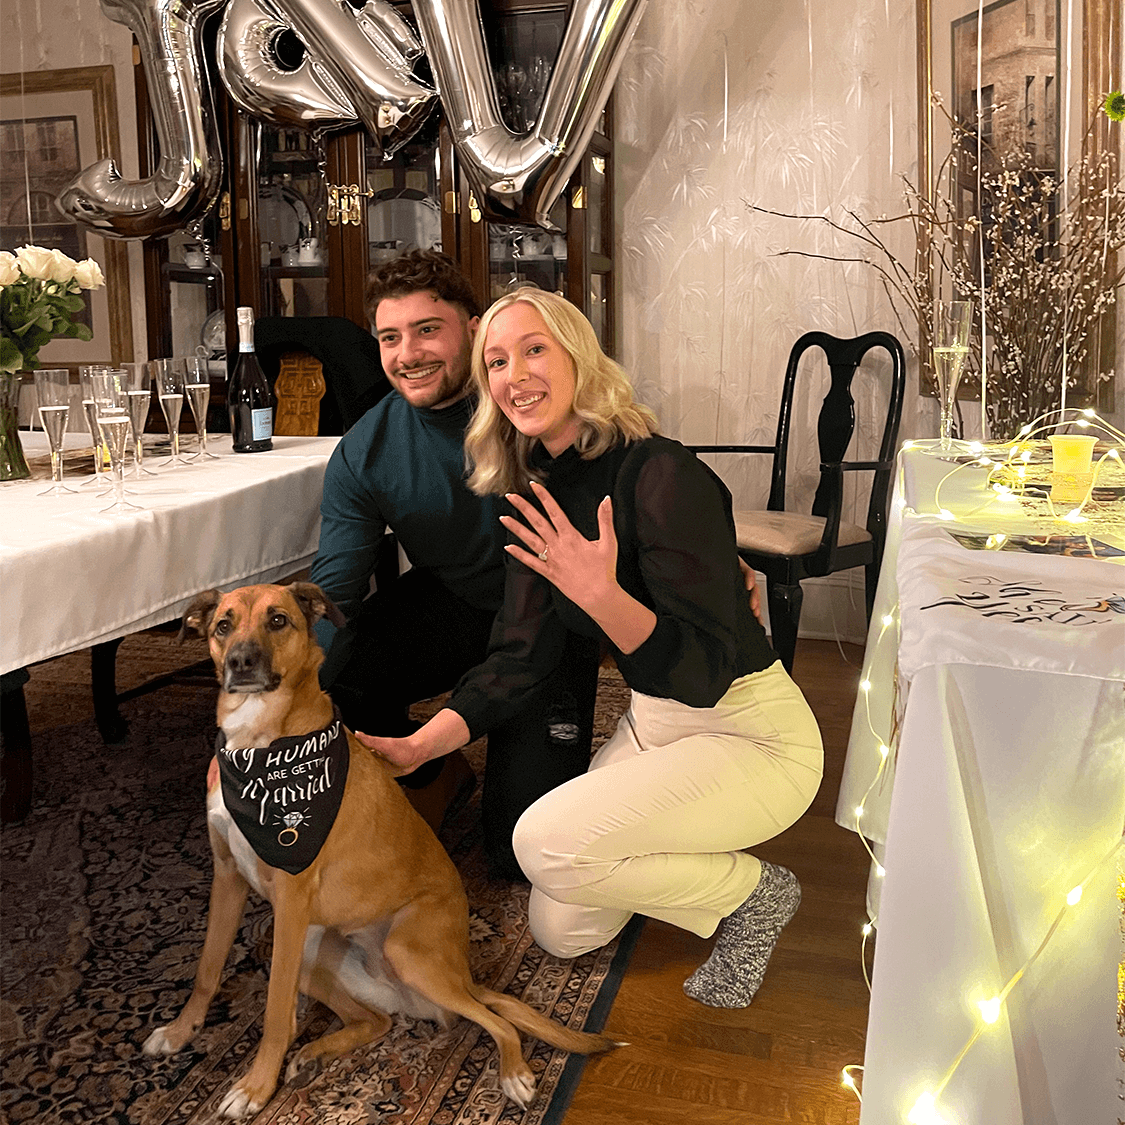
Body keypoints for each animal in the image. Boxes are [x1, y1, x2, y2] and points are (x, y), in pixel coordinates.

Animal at [142, 585, 616, 1120]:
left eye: (278, 620)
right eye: (223, 625)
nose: (240, 662)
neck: (261, 746)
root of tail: (462, 977)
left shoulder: (291, 898)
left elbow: (275, 1011)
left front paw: (255, 1088)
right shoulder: (227, 877)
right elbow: (207, 968)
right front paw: (180, 1033)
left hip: (404, 950)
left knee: (495, 1020)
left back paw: (514, 1074)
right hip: (312, 952)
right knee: (375, 1021)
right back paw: (313, 1055)